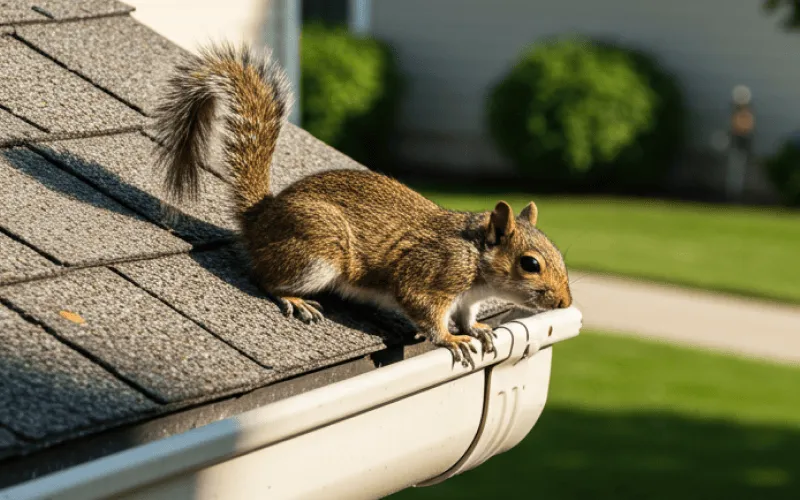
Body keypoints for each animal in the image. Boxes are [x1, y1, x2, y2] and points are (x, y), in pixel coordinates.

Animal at [152, 43, 572, 367]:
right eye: (530, 264)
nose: (565, 302)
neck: (475, 258)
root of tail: (260, 218)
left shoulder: (467, 299)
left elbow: (466, 315)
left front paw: (477, 329)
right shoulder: (434, 272)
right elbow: (422, 306)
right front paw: (451, 339)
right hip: (320, 245)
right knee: (263, 277)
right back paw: (293, 298)